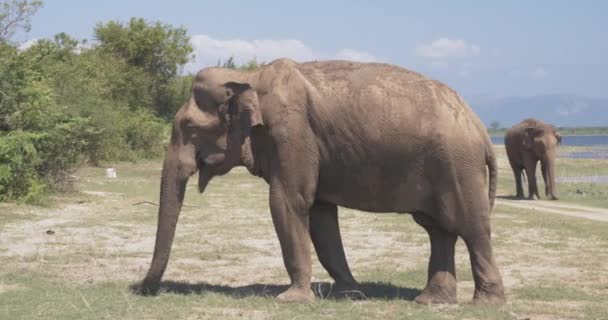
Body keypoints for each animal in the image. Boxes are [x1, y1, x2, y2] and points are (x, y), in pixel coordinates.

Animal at [140, 58, 506, 304]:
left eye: (188, 126)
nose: (145, 290)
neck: (249, 77)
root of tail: (480, 127)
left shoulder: (291, 133)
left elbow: (287, 201)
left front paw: (291, 300)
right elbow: (319, 213)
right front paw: (350, 293)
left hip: (458, 166)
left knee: (471, 227)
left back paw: (485, 303)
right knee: (438, 229)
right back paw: (430, 302)